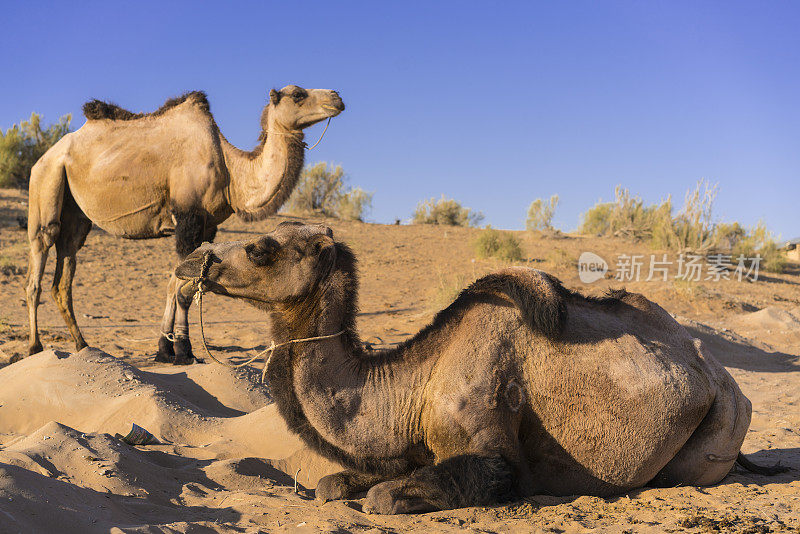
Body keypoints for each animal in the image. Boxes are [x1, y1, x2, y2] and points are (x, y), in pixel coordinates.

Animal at [24, 87, 344, 364]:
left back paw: (82, 345)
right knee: (39, 259)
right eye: (298, 94)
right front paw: (182, 350)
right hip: (46, 178)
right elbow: (183, 287)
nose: (336, 97)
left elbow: (178, 283)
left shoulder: (206, 226)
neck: (230, 169)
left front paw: (166, 349)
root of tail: (45, 155)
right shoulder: (188, 219)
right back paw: (34, 347)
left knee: (64, 270)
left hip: (76, 215)